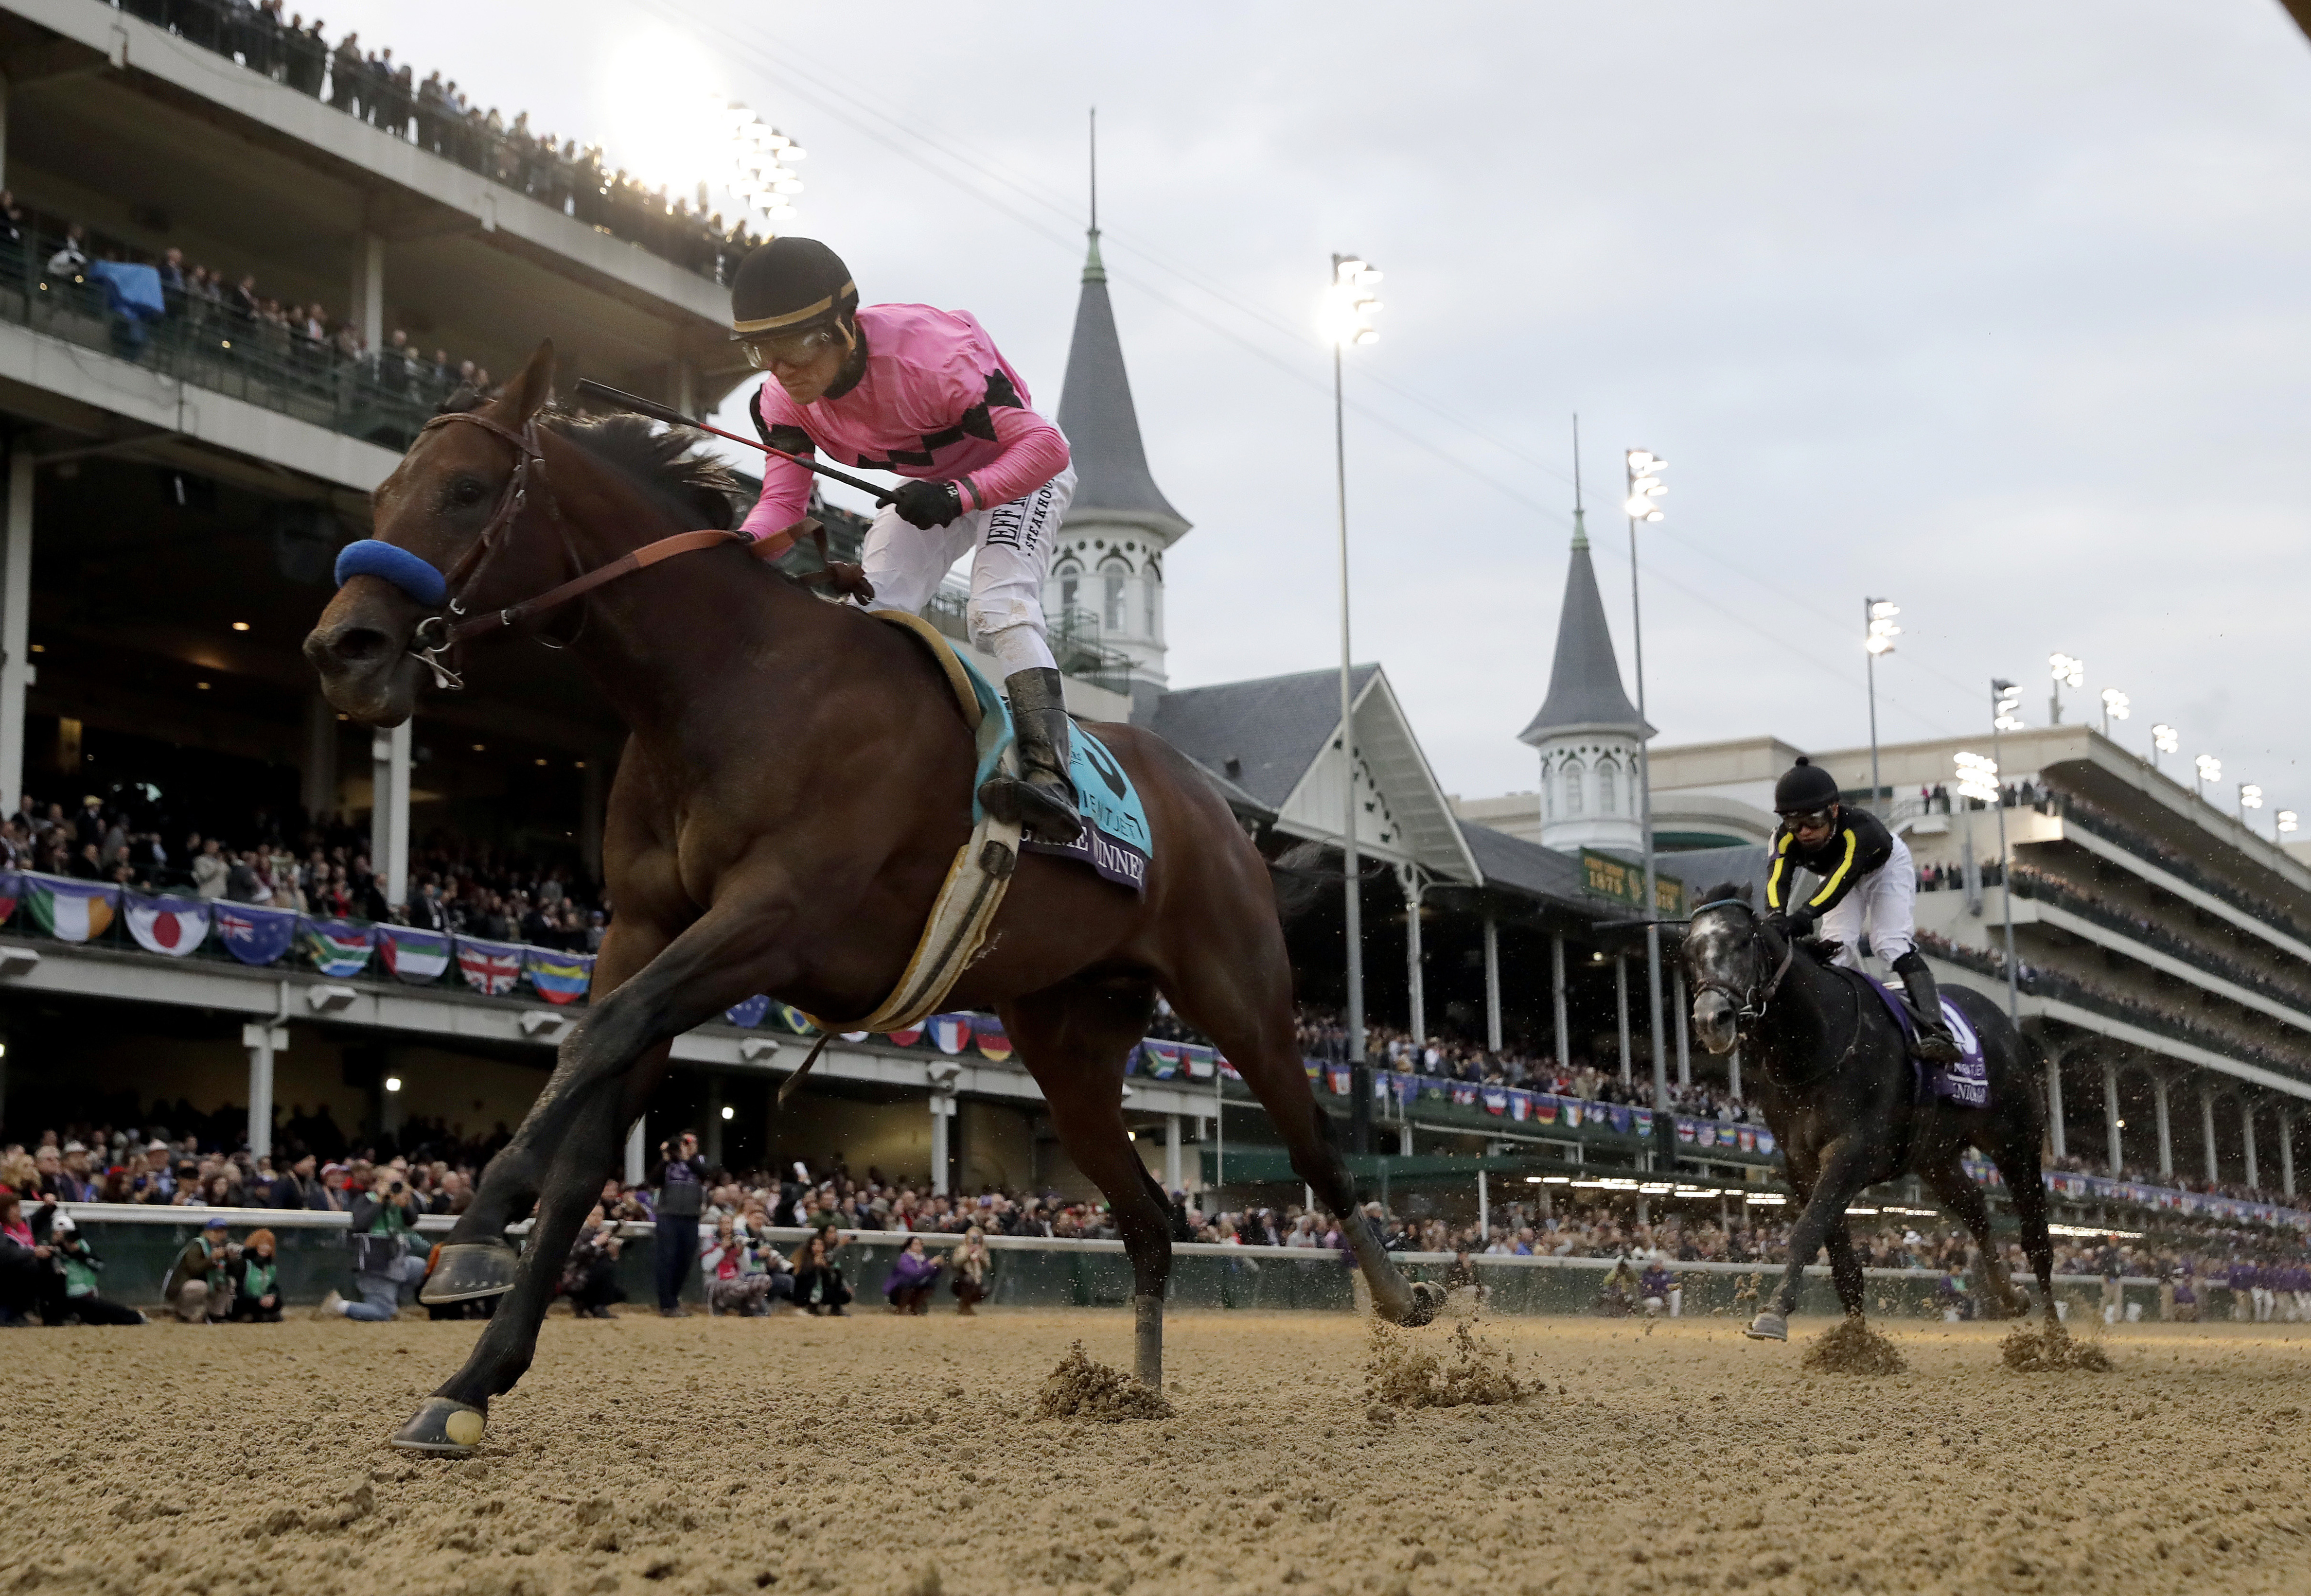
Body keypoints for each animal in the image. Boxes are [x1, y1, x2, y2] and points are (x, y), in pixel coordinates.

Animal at [300, 344, 1432, 1450]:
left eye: (466, 489)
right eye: (384, 492)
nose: (342, 650)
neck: (732, 681)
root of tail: (1218, 807)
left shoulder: (770, 920)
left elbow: (598, 1032)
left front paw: (473, 1237)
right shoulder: (647, 927)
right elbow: (588, 1133)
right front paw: (471, 1381)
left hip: (1237, 995)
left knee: (1316, 1149)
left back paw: (1408, 1314)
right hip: (1068, 1037)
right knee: (1150, 1212)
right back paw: (1137, 1393)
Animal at [1682, 882, 2061, 1339]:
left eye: (1741, 941)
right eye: (1689, 950)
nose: (1711, 1020)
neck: (1816, 1043)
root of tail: (2005, 1026)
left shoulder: (1852, 1150)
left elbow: (1807, 1228)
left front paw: (1773, 1313)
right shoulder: (1800, 1162)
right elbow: (1840, 1258)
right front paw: (1854, 1342)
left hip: (2016, 1144)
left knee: (2036, 1240)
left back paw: (2056, 1335)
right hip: (1935, 1157)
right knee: (1975, 1208)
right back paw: (2009, 1296)